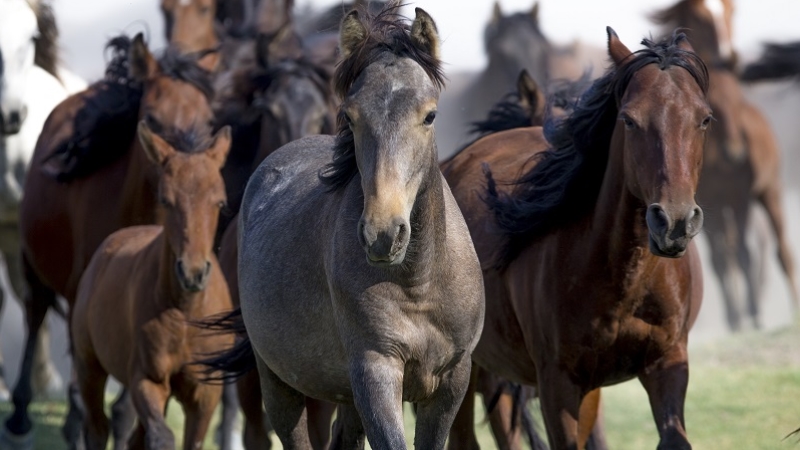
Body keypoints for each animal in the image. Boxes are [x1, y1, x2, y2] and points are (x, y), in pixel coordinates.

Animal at [2, 33, 216, 448]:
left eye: (209, 121)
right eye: (153, 117)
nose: (187, 173)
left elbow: (126, 405)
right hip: (37, 266)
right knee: (36, 315)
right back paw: (22, 416)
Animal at [70, 119, 233, 450]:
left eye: (220, 202)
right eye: (166, 200)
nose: (193, 273)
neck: (186, 314)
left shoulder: (206, 394)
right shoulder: (147, 379)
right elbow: (162, 436)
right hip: (88, 365)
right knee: (97, 428)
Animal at [652, 0, 796, 330]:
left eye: (732, 11)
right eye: (700, 15)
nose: (728, 57)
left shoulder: (740, 197)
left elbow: (745, 254)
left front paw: (754, 316)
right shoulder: (707, 204)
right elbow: (720, 262)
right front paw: (734, 319)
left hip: (769, 191)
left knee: (781, 251)